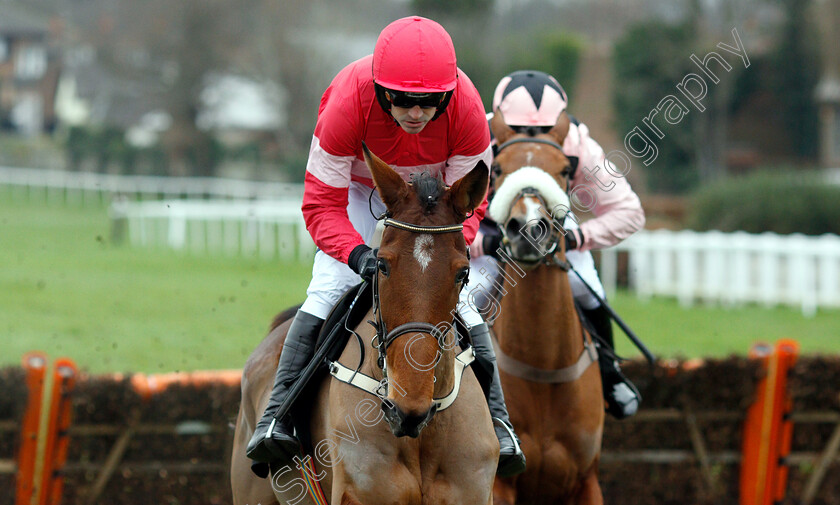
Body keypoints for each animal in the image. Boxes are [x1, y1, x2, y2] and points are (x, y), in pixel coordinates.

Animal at [486, 111, 604, 504]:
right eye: (497, 168)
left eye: (565, 169)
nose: (528, 227)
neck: (544, 364)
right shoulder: (500, 483)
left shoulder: (586, 480)